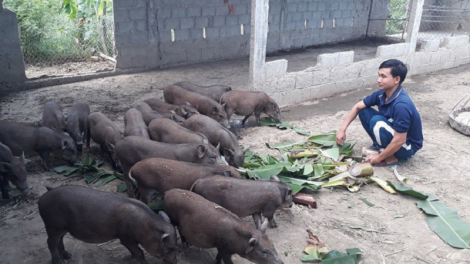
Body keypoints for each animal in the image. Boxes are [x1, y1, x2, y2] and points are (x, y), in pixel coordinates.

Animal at [38, 185, 177, 264]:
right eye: (169, 248)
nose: (175, 262)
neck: (145, 227)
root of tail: (42, 198)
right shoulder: (125, 238)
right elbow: (139, 252)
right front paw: (142, 261)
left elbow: (134, 252)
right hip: (52, 225)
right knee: (50, 242)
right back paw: (58, 262)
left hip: (61, 227)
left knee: (59, 240)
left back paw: (68, 256)